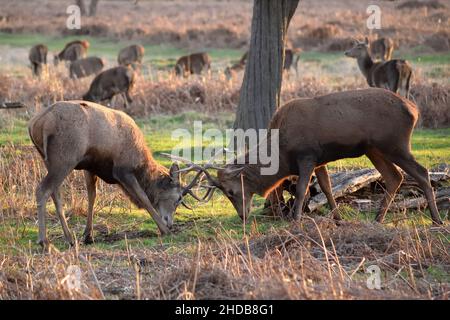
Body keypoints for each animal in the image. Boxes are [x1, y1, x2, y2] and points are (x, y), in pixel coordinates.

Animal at [27, 100, 185, 248]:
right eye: (178, 198)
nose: (170, 223)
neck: (140, 164)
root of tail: (36, 124)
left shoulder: (90, 166)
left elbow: (92, 195)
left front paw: (88, 235)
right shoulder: (122, 170)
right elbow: (143, 197)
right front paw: (164, 230)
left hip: (48, 160)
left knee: (55, 193)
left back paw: (69, 238)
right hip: (65, 158)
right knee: (42, 189)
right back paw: (44, 241)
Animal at [191, 88, 442, 225]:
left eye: (231, 191)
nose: (243, 216)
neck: (282, 153)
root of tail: (414, 110)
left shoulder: (307, 155)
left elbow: (303, 189)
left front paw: (295, 219)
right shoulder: (320, 160)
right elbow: (327, 187)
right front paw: (338, 219)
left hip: (395, 144)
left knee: (421, 172)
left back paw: (436, 219)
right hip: (374, 149)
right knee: (394, 177)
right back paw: (378, 219)